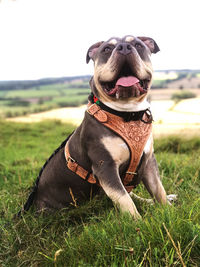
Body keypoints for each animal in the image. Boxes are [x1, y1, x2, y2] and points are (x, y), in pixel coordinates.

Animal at [19, 35, 177, 220]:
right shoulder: (105, 167)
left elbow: (158, 189)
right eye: (107, 49)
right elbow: (123, 198)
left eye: (138, 45)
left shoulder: (149, 161)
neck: (126, 113)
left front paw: (168, 210)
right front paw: (137, 221)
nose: (124, 47)